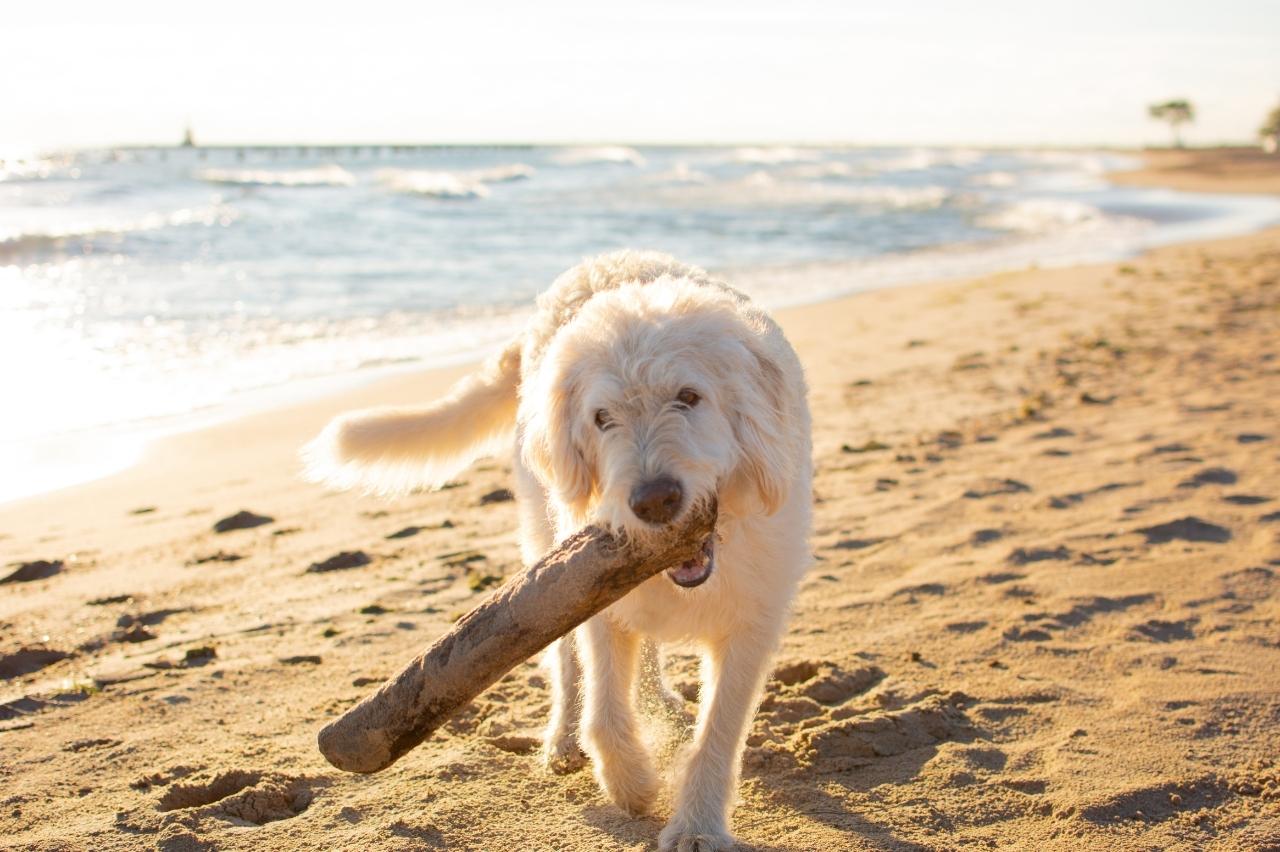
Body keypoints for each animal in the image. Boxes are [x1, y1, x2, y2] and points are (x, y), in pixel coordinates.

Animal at [302, 249, 808, 844]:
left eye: (689, 397)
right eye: (602, 418)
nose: (654, 501)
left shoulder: (754, 620)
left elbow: (720, 729)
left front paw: (698, 828)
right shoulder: (595, 595)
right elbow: (603, 707)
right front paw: (631, 782)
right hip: (546, 541)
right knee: (567, 664)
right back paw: (565, 738)